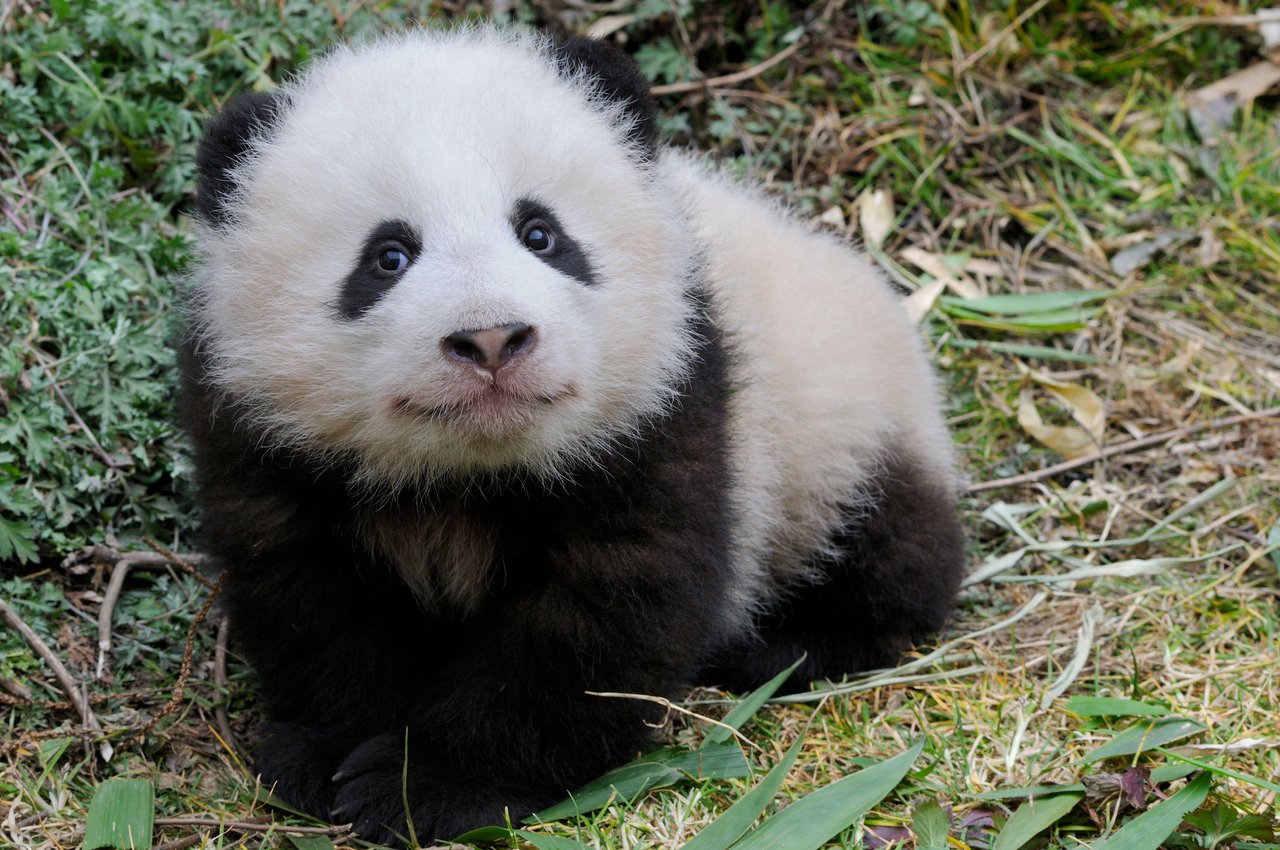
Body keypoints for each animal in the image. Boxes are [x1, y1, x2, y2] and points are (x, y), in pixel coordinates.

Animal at [181, 25, 965, 845]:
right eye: (388, 257)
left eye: (542, 234)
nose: (491, 338)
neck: (469, 470)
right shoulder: (264, 435)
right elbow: (311, 598)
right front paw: (328, 753)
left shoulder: (667, 405)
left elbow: (600, 616)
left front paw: (429, 784)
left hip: (837, 426)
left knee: (889, 549)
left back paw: (782, 643)